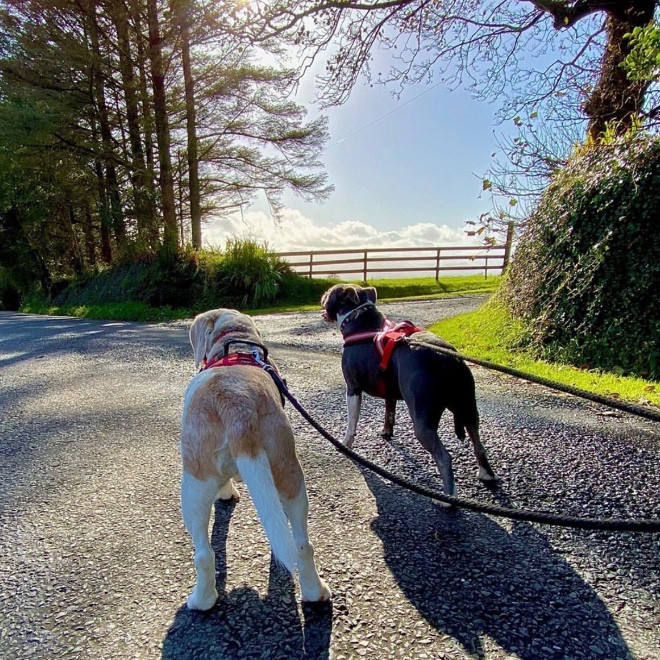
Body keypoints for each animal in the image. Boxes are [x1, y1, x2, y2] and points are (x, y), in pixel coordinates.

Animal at [180, 308, 331, 611]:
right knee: (301, 545)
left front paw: (226, 493)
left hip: (192, 487)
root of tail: (236, 403)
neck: (236, 344)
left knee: (204, 553)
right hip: (287, 476)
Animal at [321, 284, 498, 498]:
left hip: (422, 421)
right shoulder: (388, 390)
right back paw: (486, 474)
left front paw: (345, 444)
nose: (322, 296)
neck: (359, 318)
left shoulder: (353, 388)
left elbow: (351, 422)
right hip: (468, 408)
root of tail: (449, 359)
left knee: (444, 457)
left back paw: (448, 499)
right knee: (478, 444)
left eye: (329, 293)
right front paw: (386, 432)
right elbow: (389, 412)